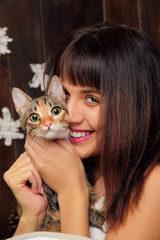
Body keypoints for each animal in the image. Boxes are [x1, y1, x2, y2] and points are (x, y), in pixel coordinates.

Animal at [11, 75, 104, 232]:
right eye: (34, 117)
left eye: (55, 111)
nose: (48, 124)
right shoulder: (53, 198)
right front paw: (103, 218)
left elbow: (85, 184)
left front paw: (95, 200)